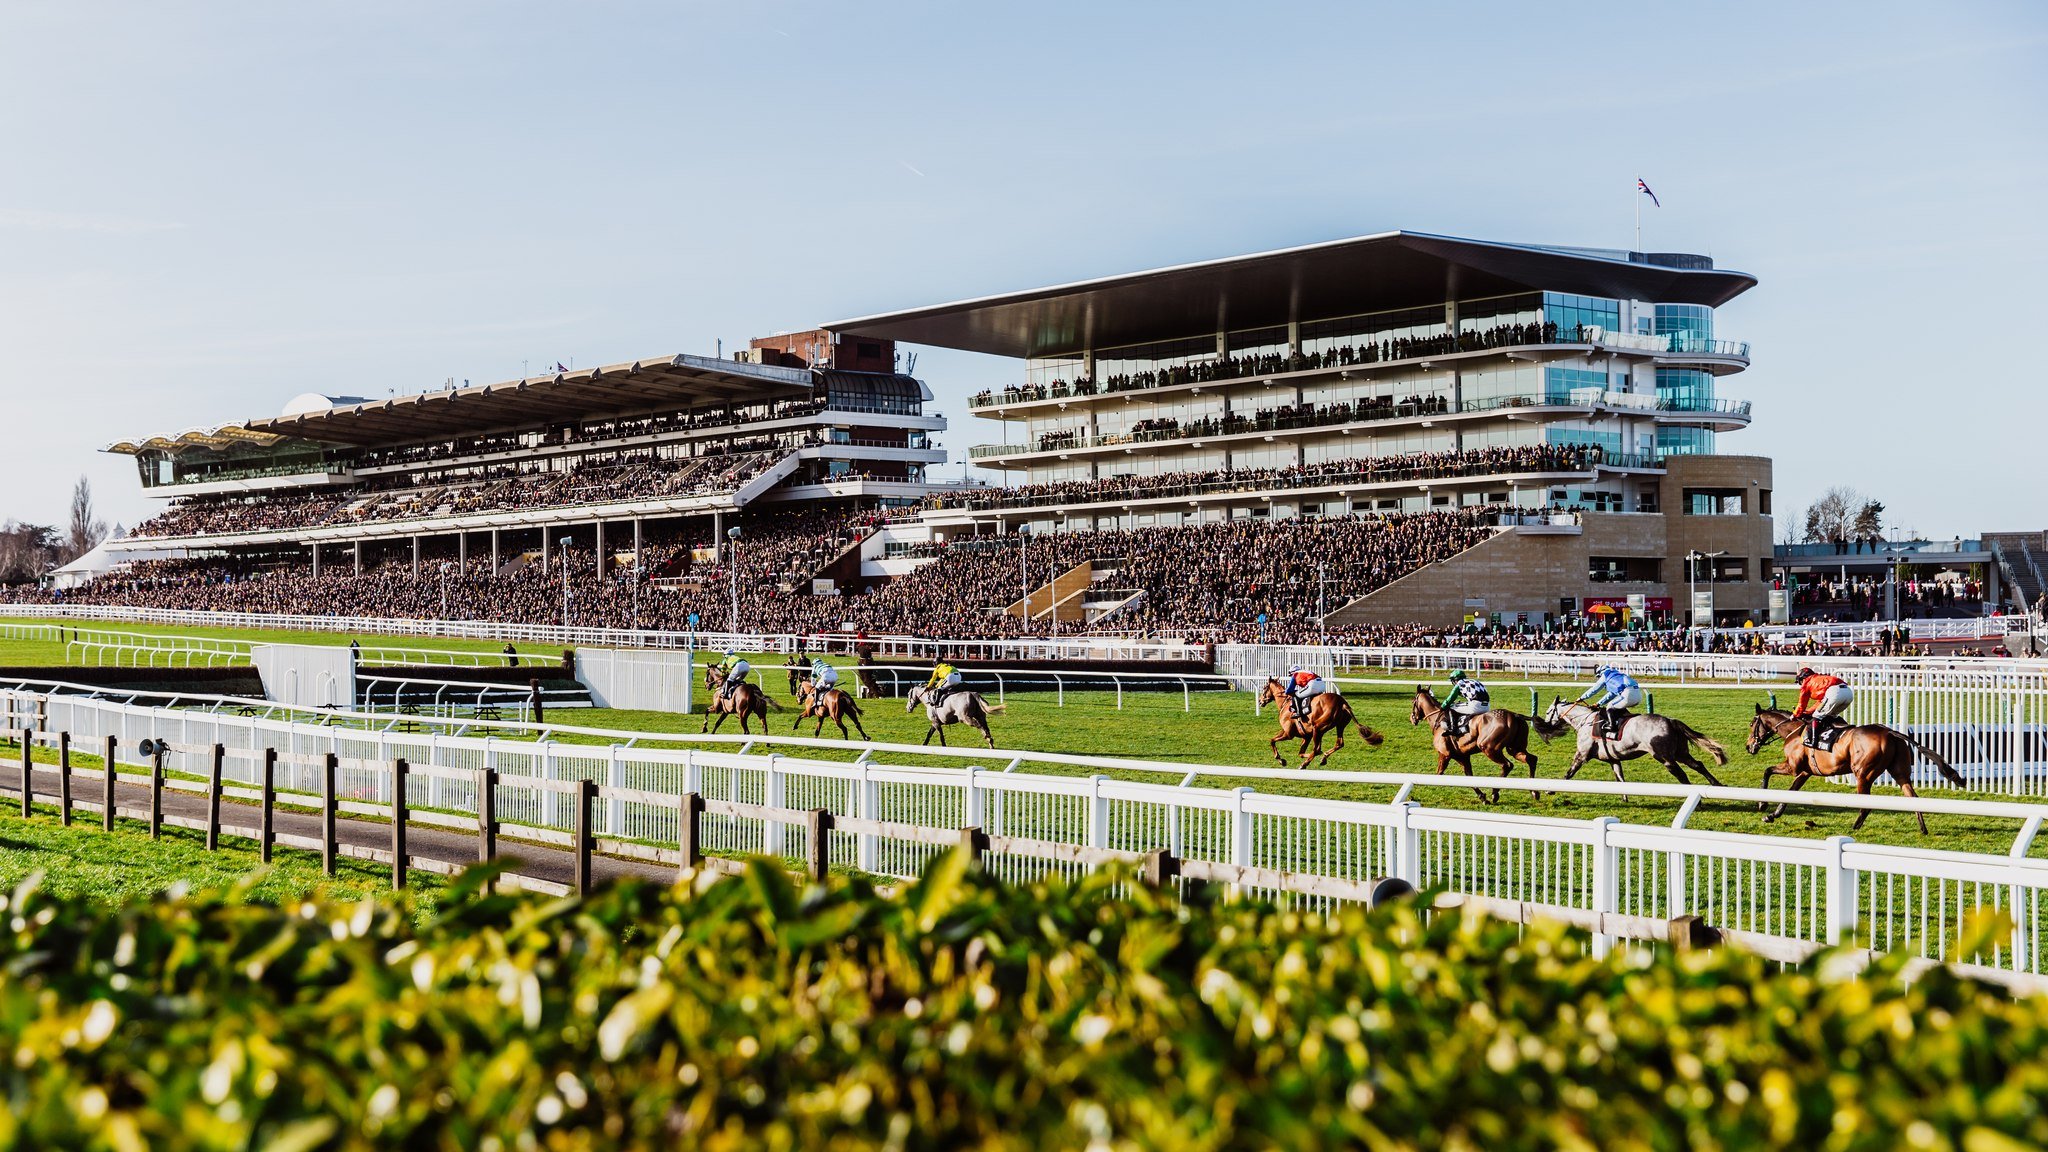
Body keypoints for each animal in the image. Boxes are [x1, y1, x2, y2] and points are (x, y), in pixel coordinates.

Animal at [1253, 676, 1384, 766]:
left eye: (1264, 687)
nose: (1260, 701)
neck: (1286, 703)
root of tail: (1342, 703)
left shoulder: (1288, 733)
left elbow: (1272, 741)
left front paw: (1280, 759)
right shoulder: (1306, 736)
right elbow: (1300, 752)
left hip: (1318, 727)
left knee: (1317, 749)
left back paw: (1305, 764)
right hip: (1338, 726)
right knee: (1338, 743)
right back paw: (1323, 758)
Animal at [1540, 696, 1728, 783]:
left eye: (1548, 711)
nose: (1546, 725)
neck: (1585, 721)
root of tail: (1670, 721)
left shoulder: (1582, 754)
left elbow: (1569, 773)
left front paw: (1551, 790)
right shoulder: (1613, 758)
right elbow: (1620, 778)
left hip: (1664, 756)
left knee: (1680, 774)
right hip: (1680, 753)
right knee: (1698, 765)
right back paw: (1717, 784)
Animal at [1744, 705, 1966, 828]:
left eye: (1752, 724)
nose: (1748, 746)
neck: (1794, 730)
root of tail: (1890, 732)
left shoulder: (1794, 767)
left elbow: (1767, 771)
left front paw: (1762, 803)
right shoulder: (1806, 772)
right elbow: (1790, 793)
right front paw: (1771, 815)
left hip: (1863, 774)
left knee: (1866, 805)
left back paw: (1854, 827)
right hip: (1899, 771)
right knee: (1912, 796)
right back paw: (1923, 828)